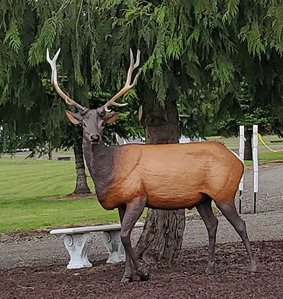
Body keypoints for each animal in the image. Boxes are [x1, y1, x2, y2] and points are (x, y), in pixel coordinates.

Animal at [47, 48, 258, 284]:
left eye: (102, 122)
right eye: (83, 123)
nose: (94, 137)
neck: (109, 169)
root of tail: (238, 160)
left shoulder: (138, 195)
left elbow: (125, 235)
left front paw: (143, 273)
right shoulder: (122, 201)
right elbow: (124, 236)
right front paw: (127, 276)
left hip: (224, 191)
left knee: (240, 223)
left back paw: (252, 266)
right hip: (203, 197)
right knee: (212, 224)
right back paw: (210, 268)